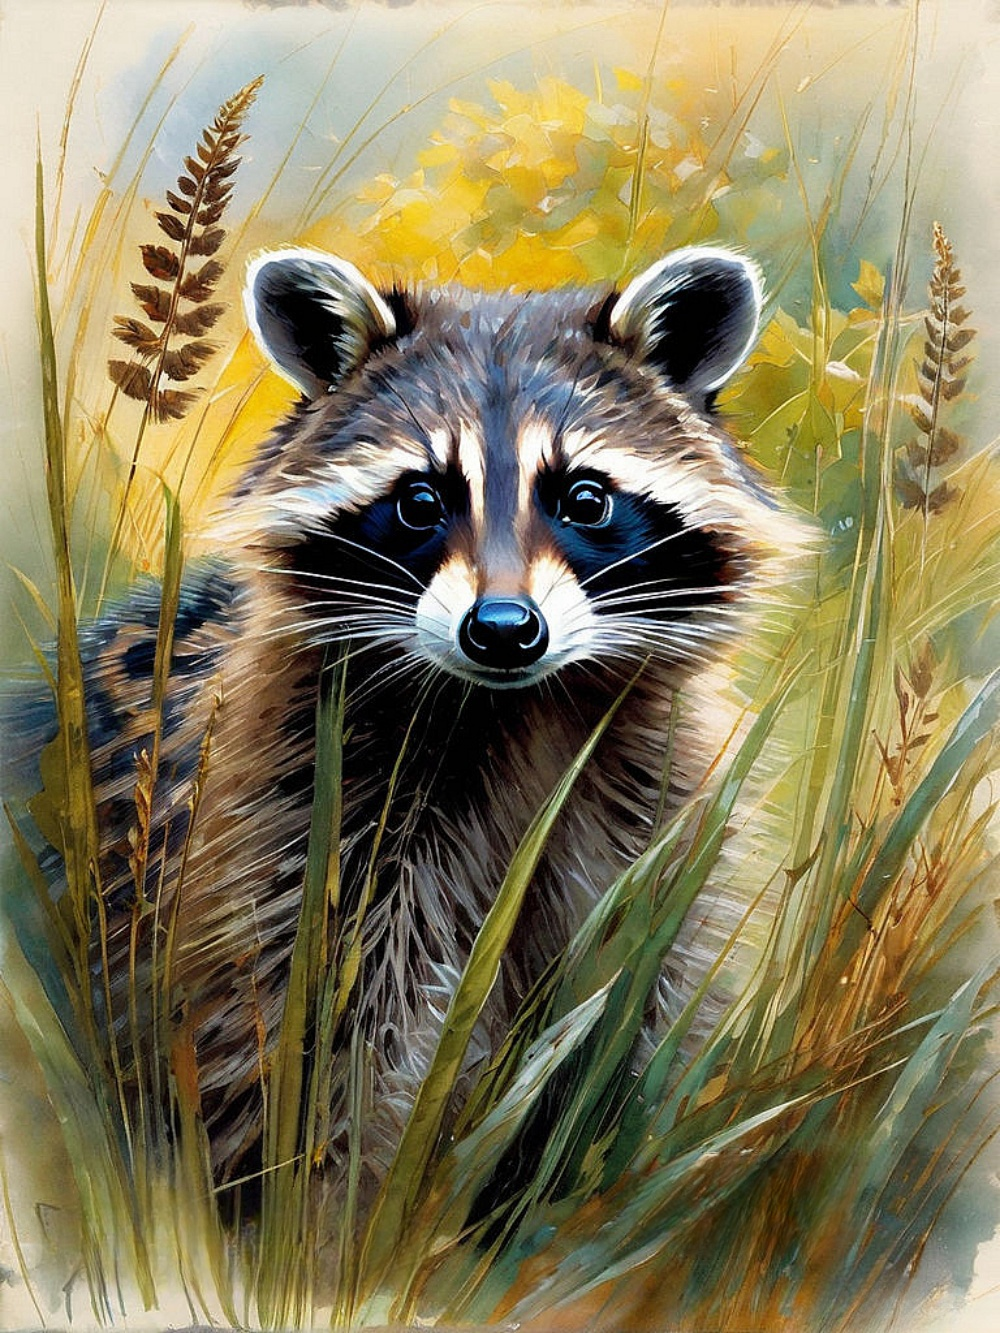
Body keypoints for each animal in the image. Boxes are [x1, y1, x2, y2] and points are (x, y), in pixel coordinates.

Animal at [12, 245, 799, 1205]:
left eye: (585, 498)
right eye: (422, 500)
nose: (503, 629)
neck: (517, 708)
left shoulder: (660, 817)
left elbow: (644, 1010)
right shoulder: (293, 829)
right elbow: (315, 1054)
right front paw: (338, 1222)